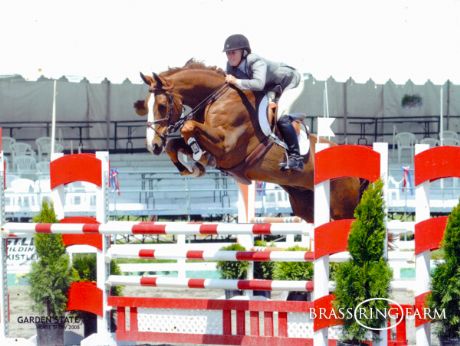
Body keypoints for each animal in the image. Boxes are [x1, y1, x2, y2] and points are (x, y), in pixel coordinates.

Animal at [135, 60, 362, 222]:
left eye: (162, 105)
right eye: (145, 105)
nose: (152, 146)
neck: (216, 98)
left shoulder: (227, 148)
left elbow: (187, 127)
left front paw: (199, 158)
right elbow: (175, 144)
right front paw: (192, 167)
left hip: (342, 209)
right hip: (307, 205)